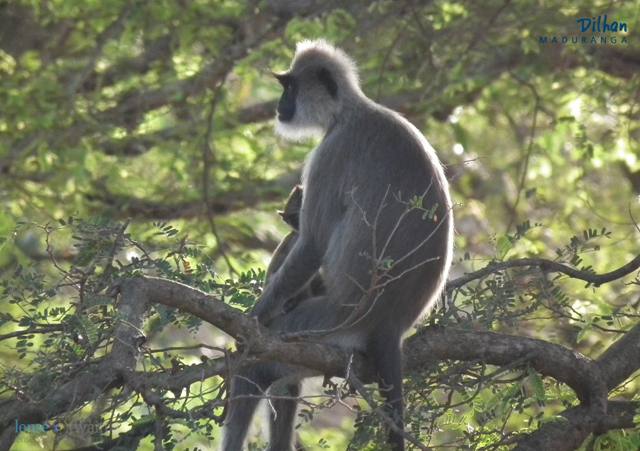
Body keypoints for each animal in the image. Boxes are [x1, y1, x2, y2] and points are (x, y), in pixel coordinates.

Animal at [222, 40, 453, 451]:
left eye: (290, 88)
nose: (279, 105)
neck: (349, 112)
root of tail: (390, 323)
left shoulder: (332, 152)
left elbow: (313, 243)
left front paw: (253, 321)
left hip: (328, 323)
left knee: (258, 367)